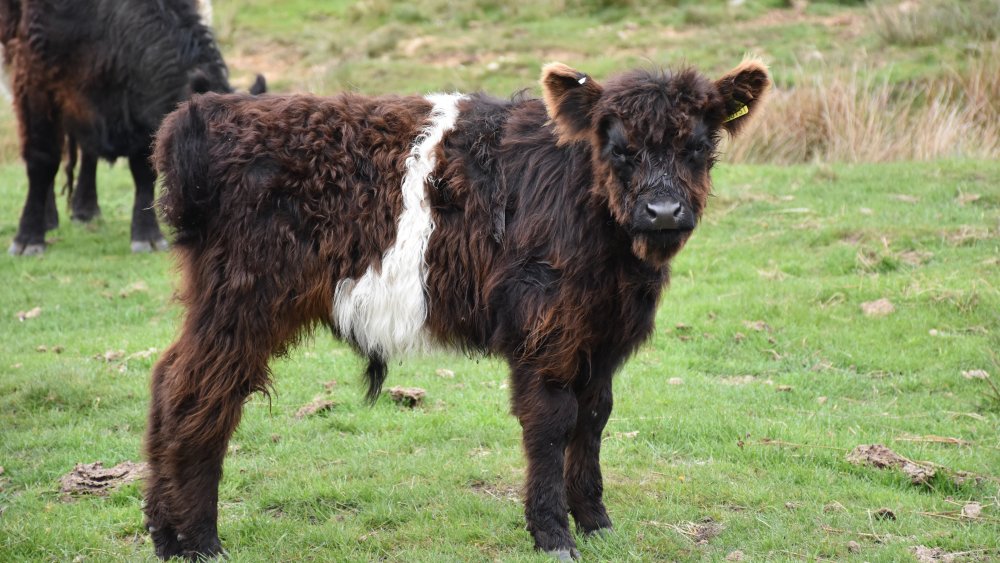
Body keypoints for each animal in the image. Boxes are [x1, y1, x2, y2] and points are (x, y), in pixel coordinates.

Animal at [0, 0, 264, 256]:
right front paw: (28, 237)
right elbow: (42, 159)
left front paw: (146, 235)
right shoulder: (34, 79)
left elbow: (143, 170)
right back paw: (49, 218)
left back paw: (86, 209)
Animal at [145, 58, 770, 560]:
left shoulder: (603, 334)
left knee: (169, 378)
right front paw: (554, 535)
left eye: (698, 147)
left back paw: (162, 531)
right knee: (199, 393)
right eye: (620, 149)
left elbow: (594, 419)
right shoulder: (545, 331)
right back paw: (200, 540)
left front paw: (596, 522)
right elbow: (553, 422)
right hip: (243, 299)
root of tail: (207, 112)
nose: (662, 211)